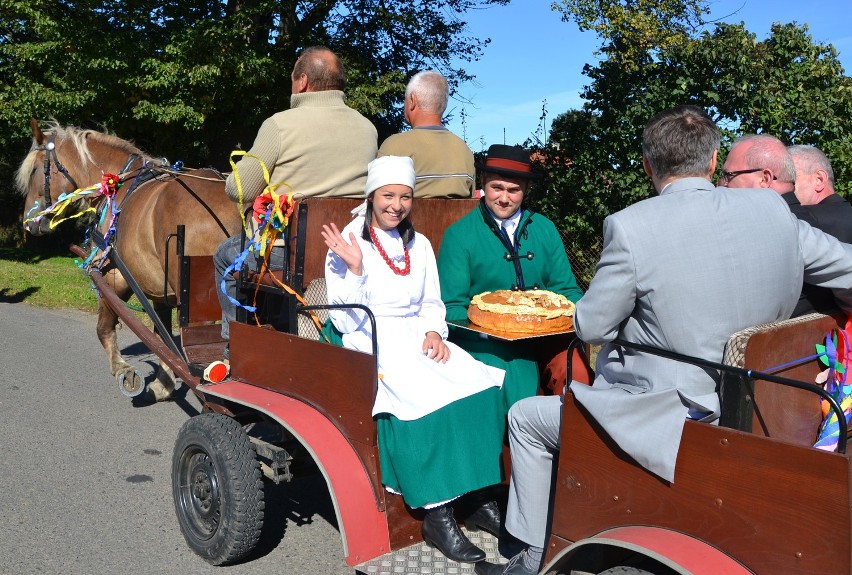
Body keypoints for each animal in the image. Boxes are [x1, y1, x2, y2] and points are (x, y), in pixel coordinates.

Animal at [17, 120, 243, 402]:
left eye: (36, 170)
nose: (28, 224)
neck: (118, 185)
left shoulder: (115, 277)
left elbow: (104, 327)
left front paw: (123, 370)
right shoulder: (159, 288)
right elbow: (163, 336)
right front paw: (163, 383)